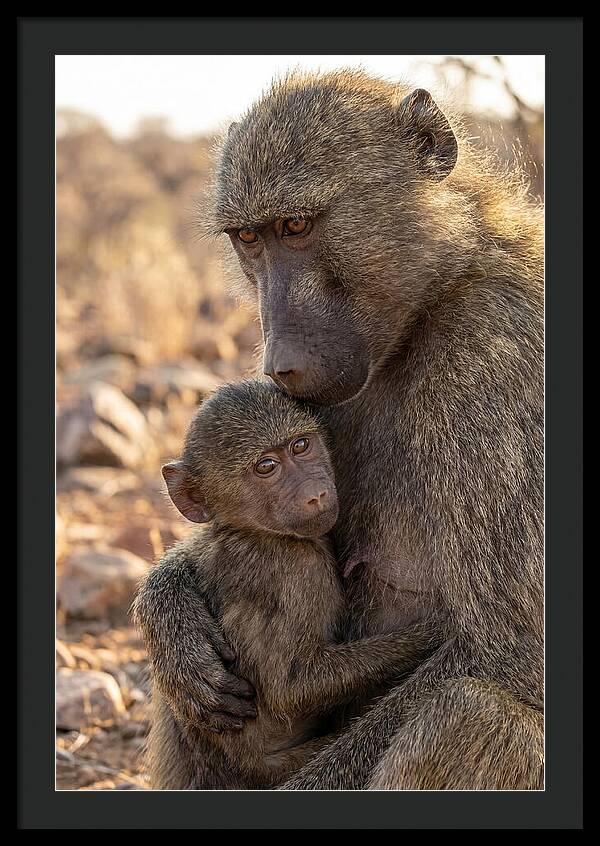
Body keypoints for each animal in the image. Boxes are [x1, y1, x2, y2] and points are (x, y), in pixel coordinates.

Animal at [133, 379, 437, 789]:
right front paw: (432, 633)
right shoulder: (296, 570)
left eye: (301, 446)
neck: (252, 531)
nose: (316, 494)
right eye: (266, 467)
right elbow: (291, 688)